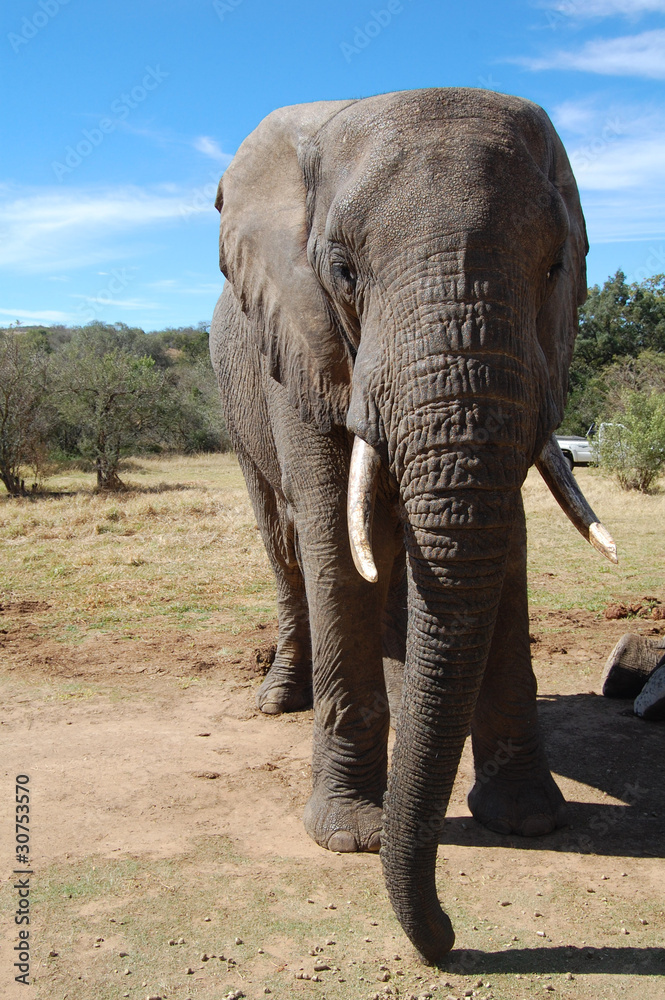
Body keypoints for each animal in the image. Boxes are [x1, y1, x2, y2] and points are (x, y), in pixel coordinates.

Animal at [209, 87, 616, 963]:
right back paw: (279, 701)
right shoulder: (305, 345)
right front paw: (349, 839)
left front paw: (527, 820)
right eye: (342, 271)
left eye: (555, 268)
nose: (448, 938)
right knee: (284, 542)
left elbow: (503, 540)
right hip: (235, 397)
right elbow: (334, 540)